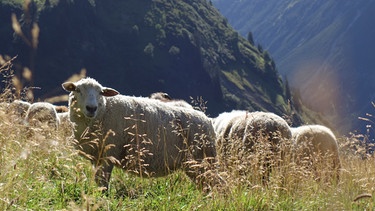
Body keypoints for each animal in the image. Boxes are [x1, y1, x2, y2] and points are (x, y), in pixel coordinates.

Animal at [62, 77, 217, 190]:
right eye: (77, 90)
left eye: (101, 92)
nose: (91, 108)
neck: (104, 110)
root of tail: (207, 120)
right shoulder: (96, 156)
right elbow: (98, 179)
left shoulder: (109, 153)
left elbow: (103, 180)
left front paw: (102, 196)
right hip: (194, 164)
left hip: (203, 158)